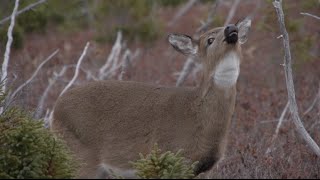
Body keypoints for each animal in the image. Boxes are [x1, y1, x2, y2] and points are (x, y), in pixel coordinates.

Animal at [50, 18, 251, 179]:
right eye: (209, 40)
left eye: (233, 28)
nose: (231, 28)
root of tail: (55, 109)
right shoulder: (166, 156)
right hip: (79, 156)